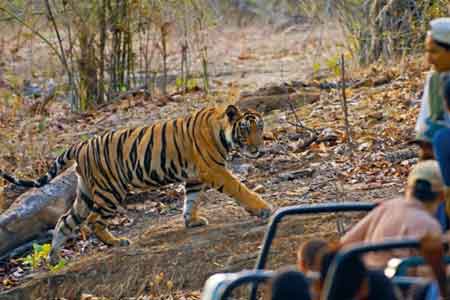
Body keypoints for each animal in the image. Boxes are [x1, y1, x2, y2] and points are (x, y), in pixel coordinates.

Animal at [0, 104, 272, 264]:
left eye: (260, 128)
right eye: (246, 130)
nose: (258, 149)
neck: (222, 133)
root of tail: (82, 144)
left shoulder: (194, 176)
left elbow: (191, 200)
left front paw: (191, 221)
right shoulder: (214, 170)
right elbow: (239, 188)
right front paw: (263, 209)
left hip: (85, 193)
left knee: (65, 221)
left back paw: (55, 258)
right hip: (110, 190)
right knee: (93, 221)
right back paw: (115, 242)